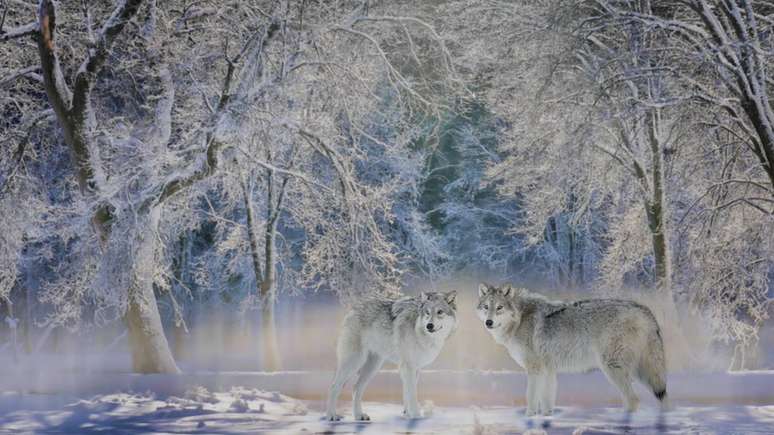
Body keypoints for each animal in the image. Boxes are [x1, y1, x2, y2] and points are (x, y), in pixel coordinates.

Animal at [324, 292, 458, 420]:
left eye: (440, 312)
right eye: (427, 313)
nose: (429, 325)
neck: (419, 330)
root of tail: (353, 309)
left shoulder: (415, 369)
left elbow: (407, 393)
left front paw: (407, 414)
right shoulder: (407, 367)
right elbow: (412, 394)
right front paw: (416, 416)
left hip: (373, 367)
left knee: (356, 388)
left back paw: (359, 415)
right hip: (354, 362)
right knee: (334, 386)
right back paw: (331, 416)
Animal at [476, 282, 668, 416]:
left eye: (499, 307)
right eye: (486, 307)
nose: (489, 322)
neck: (520, 318)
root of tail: (645, 310)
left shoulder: (535, 369)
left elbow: (531, 397)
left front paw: (528, 417)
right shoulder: (548, 370)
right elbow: (547, 400)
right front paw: (546, 417)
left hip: (613, 368)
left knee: (634, 400)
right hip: (638, 371)